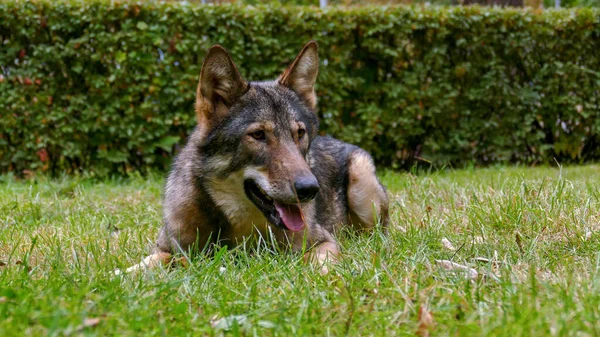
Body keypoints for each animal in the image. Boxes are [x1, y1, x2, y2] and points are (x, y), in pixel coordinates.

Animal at [117, 40, 390, 274]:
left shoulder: (323, 242)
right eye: (258, 135)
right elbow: (144, 263)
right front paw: (118, 276)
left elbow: (322, 262)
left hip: (362, 183)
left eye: (300, 133)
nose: (310, 189)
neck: (241, 232)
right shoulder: (170, 248)